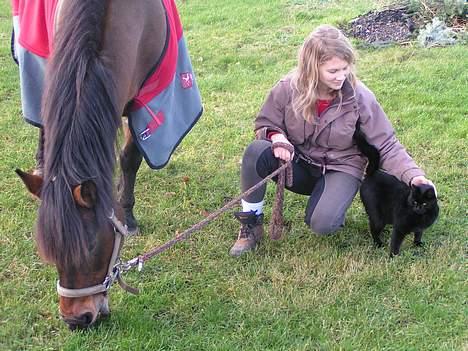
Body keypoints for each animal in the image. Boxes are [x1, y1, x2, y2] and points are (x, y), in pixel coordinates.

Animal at [15, 0, 199, 330]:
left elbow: (129, 158)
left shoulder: (145, 101)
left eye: (91, 247)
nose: (76, 319)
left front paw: (128, 212)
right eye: (49, 250)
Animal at [354, 128, 438, 258]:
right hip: (377, 216)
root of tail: (372, 173)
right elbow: (395, 243)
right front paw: (393, 256)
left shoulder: (420, 228)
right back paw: (378, 244)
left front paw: (418, 244)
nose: (418, 207)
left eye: (424, 204)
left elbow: (418, 234)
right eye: (414, 202)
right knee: (373, 230)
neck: (421, 217)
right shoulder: (399, 228)